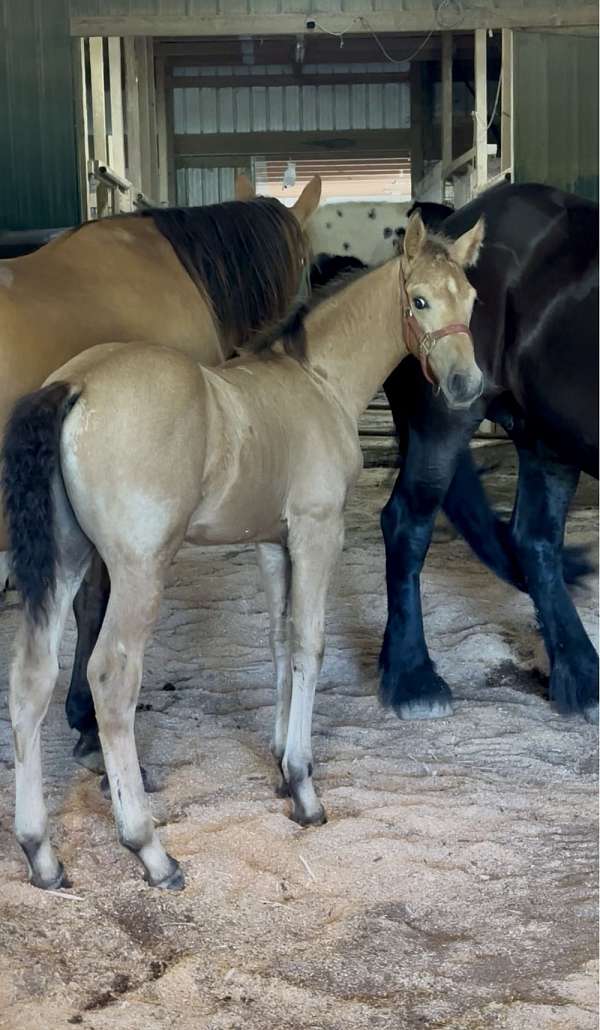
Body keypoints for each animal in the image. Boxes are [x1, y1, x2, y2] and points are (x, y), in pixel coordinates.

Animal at [3, 211, 484, 891]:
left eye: (470, 298)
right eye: (418, 300)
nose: (468, 385)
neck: (318, 383)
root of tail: (75, 383)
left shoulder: (272, 544)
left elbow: (279, 641)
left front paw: (281, 763)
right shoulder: (317, 532)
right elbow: (309, 644)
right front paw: (304, 787)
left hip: (66, 559)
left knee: (31, 679)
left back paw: (41, 853)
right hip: (139, 570)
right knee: (111, 679)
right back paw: (150, 850)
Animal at [379, 181, 599, 724]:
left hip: (547, 437)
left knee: (535, 539)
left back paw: (581, 676)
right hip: (449, 415)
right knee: (407, 522)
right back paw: (412, 678)